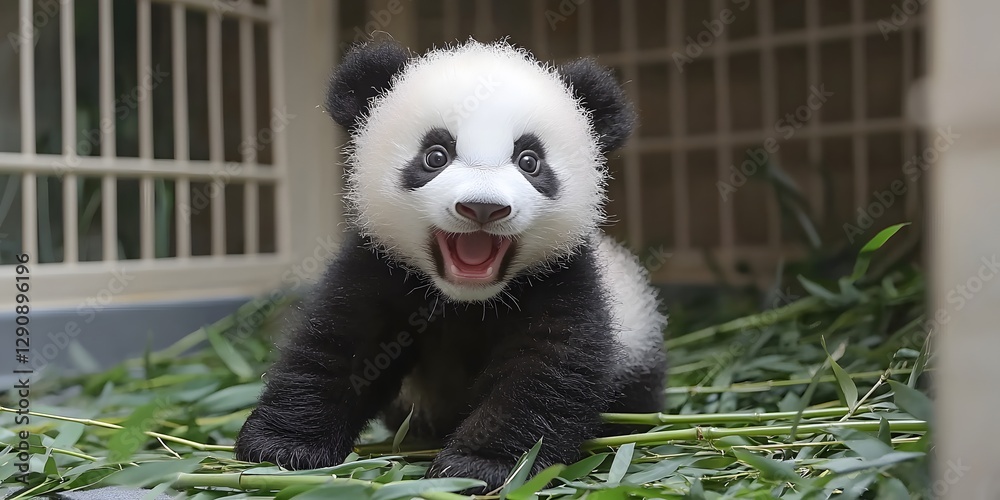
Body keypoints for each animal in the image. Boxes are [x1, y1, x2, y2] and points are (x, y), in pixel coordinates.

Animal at [234, 38, 667, 491]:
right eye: (435, 156)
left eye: (529, 161)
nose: (483, 207)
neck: (467, 300)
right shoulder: (381, 266)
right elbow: (341, 346)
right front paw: (283, 446)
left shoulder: (562, 277)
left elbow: (546, 369)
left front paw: (481, 466)